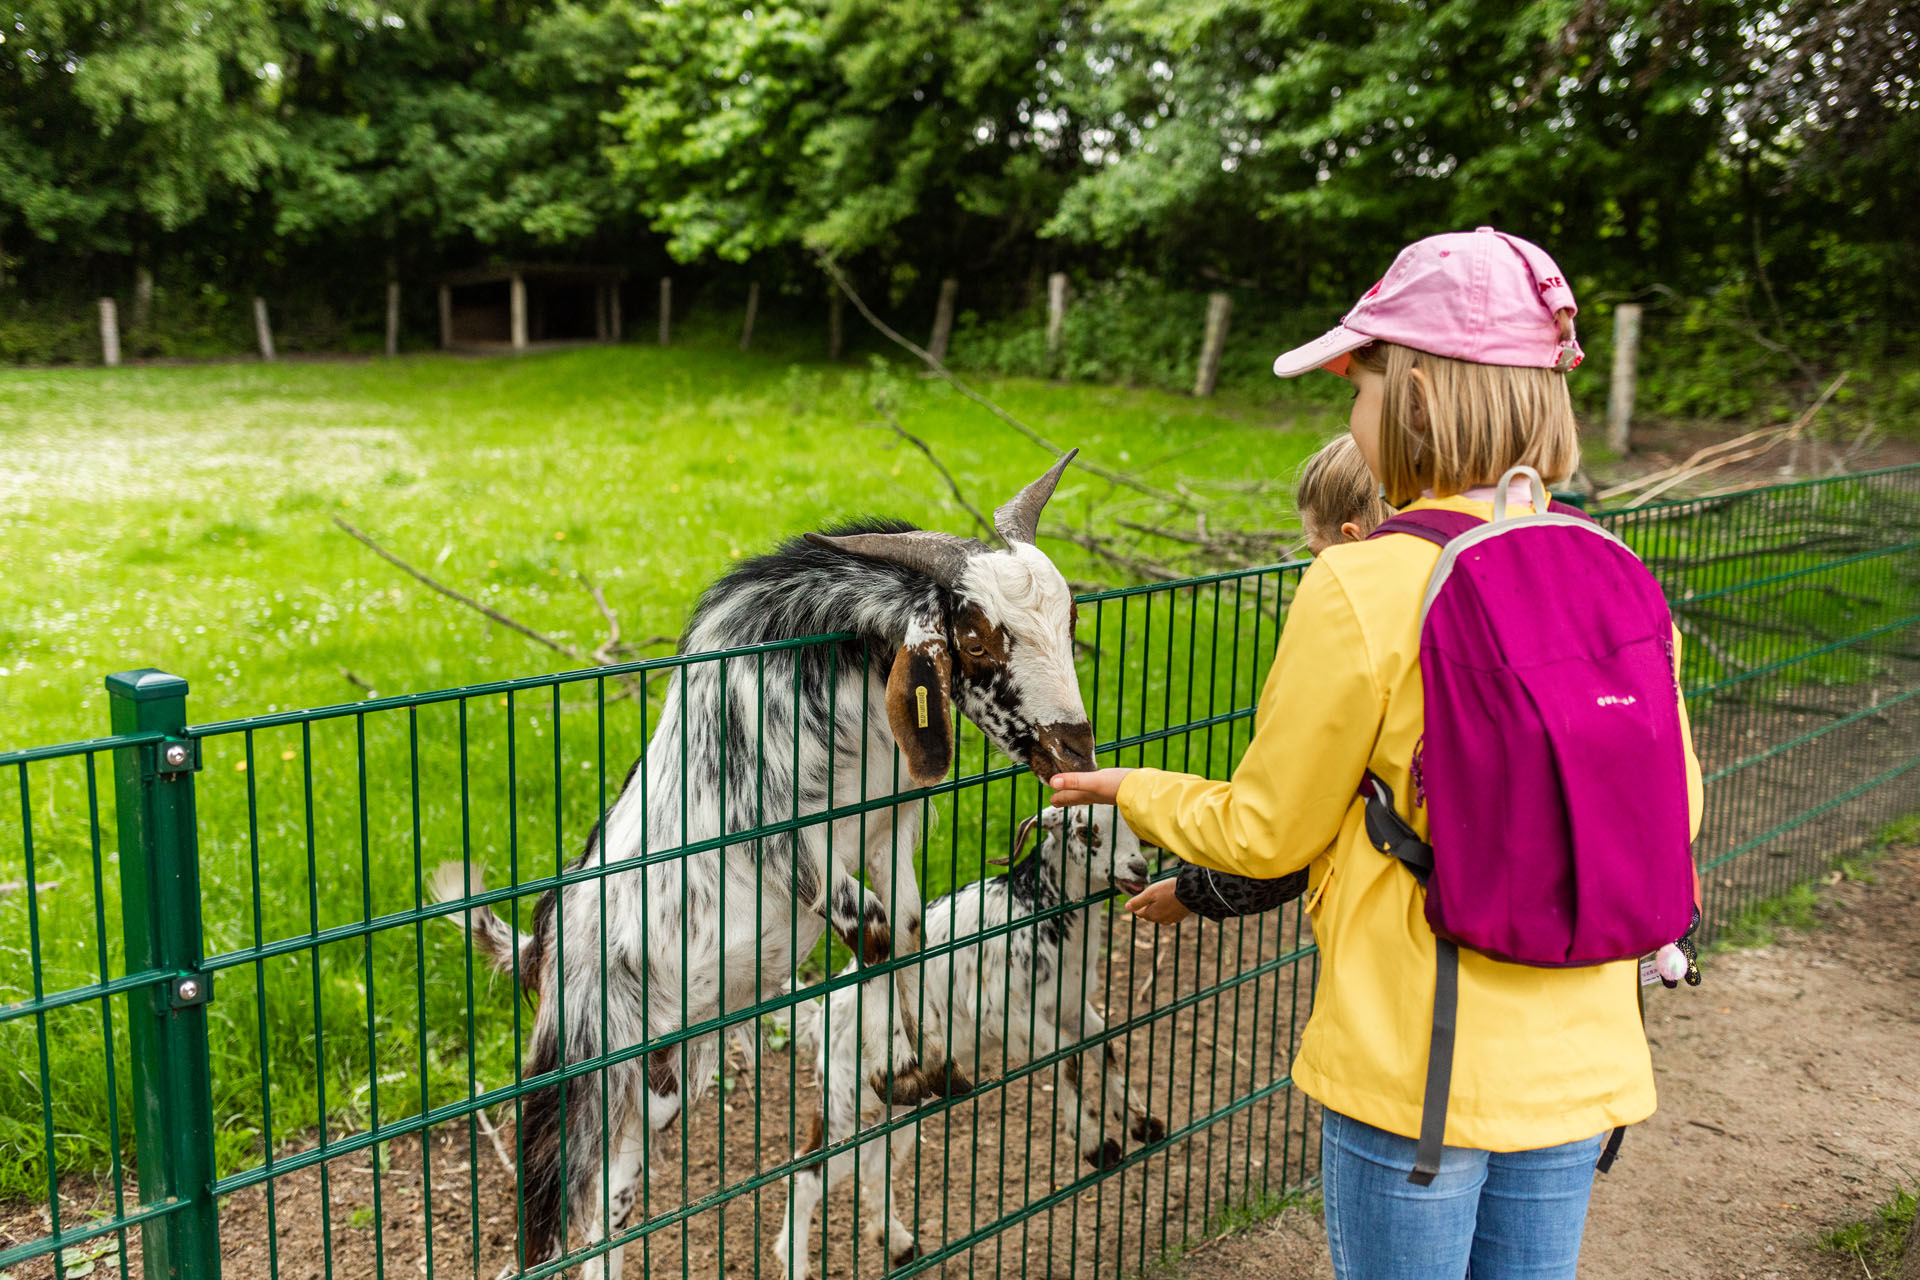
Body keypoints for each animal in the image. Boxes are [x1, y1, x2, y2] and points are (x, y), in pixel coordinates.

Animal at [433, 454, 1098, 1274]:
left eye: (1069, 620)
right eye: (975, 639)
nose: (1075, 752)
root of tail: (543, 950)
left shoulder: (891, 828)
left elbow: (909, 928)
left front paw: (928, 1064)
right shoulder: (795, 849)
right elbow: (875, 929)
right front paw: (897, 1070)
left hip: (664, 1082)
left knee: (610, 1211)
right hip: (584, 1071)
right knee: (558, 1217)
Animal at [771, 809, 1159, 1280]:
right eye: (1087, 832)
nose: (1139, 870)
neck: (1035, 912)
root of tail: (822, 1020)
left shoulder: (1071, 1005)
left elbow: (1106, 1044)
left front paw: (1142, 1122)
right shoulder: (1006, 1014)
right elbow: (1068, 1056)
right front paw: (1096, 1144)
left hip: (900, 1104)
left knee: (875, 1165)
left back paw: (899, 1245)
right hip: (844, 1103)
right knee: (807, 1173)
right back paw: (798, 1264)